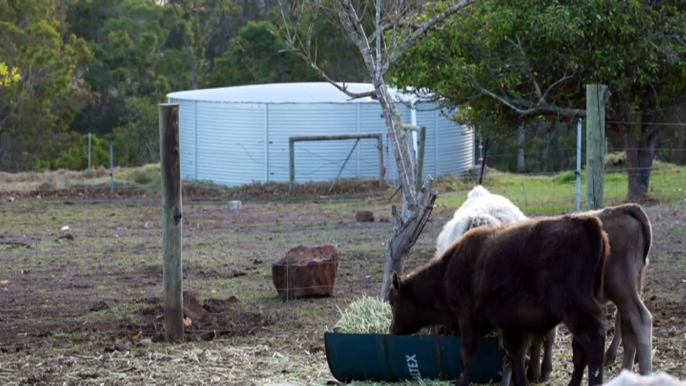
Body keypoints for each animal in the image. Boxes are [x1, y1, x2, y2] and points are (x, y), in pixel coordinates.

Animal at [390, 214, 612, 386]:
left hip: (573, 310)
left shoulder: (467, 319)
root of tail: (586, 222)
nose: (392, 331)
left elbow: (466, 355)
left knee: (594, 340)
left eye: (392, 302)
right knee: (580, 351)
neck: (448, 270)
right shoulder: (510, 324)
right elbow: (516, 355)